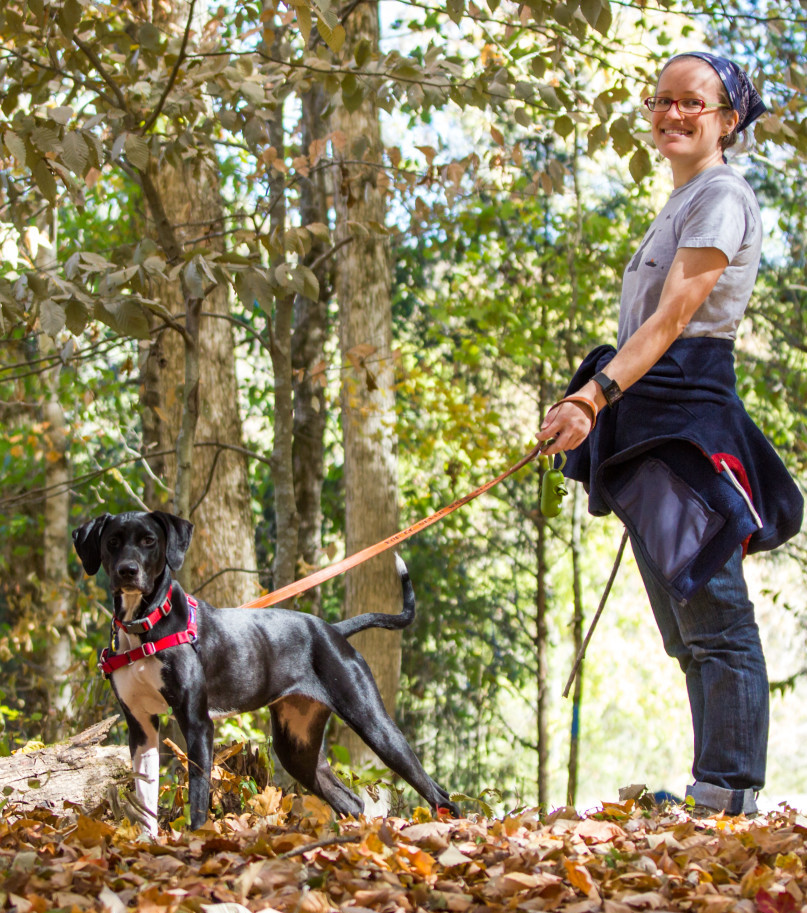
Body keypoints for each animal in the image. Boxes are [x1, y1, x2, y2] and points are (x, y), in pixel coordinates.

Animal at [72, 510, 458, 836]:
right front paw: (148, 844)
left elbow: (197, 794)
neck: (146, 625)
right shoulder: (140, 727)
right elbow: (145, 798)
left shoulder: (197, 722)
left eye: (149, 540)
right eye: (113, 541)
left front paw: (195, 840)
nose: (127, 570)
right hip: (296, 746)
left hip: (373, 723)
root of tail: (333, 630)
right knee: (351, 801)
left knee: (438, 792)